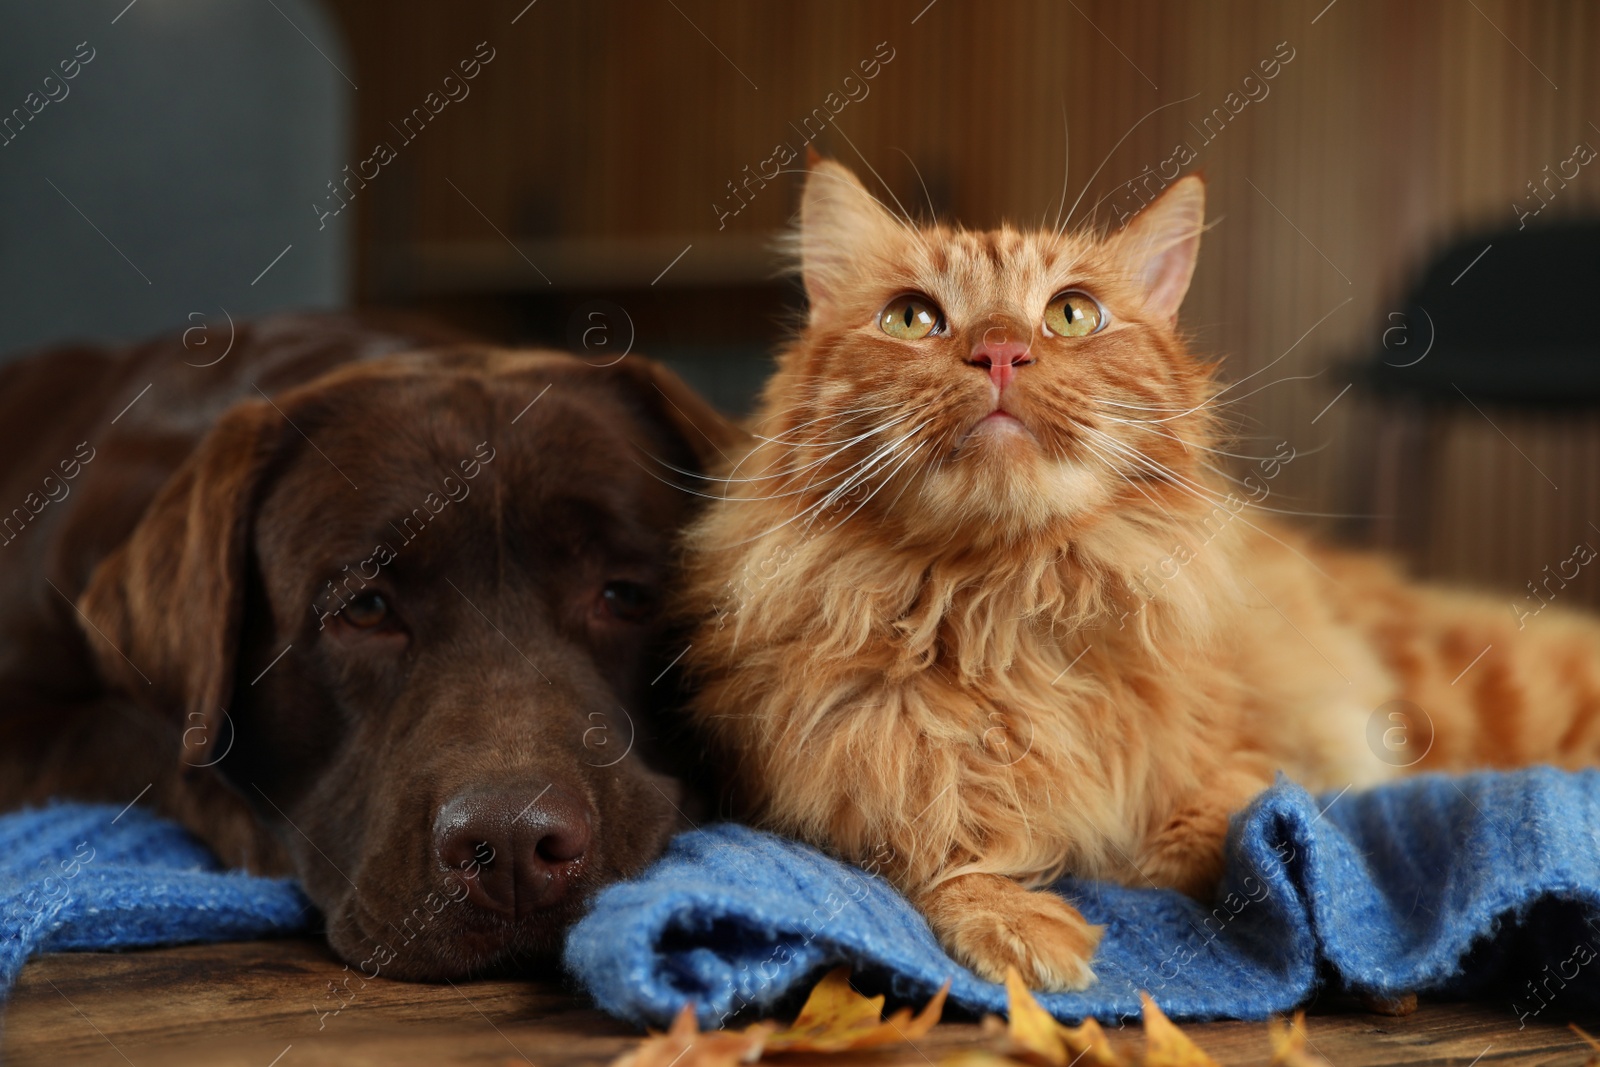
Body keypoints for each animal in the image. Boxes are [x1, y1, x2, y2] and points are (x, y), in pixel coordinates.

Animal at [672, 156, 1600, 991]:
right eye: (911, 318)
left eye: (1071, 314)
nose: (1001, 350)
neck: (998, 607)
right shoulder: (818, 783)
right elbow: (920, 850)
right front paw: (1013, 918)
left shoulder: (1265, 749)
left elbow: (1217, 825)